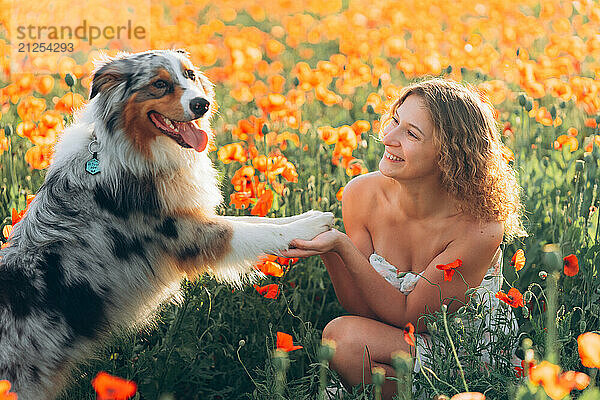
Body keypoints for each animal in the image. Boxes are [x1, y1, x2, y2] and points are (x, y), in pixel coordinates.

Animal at [0, 48, 332, 398]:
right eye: (159, 84)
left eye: (190, 75)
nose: (202, 104)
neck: (133, 151)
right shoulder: (187, 233)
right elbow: (254, 229)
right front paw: (309, 225)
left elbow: (254, 218)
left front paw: (307, 216)